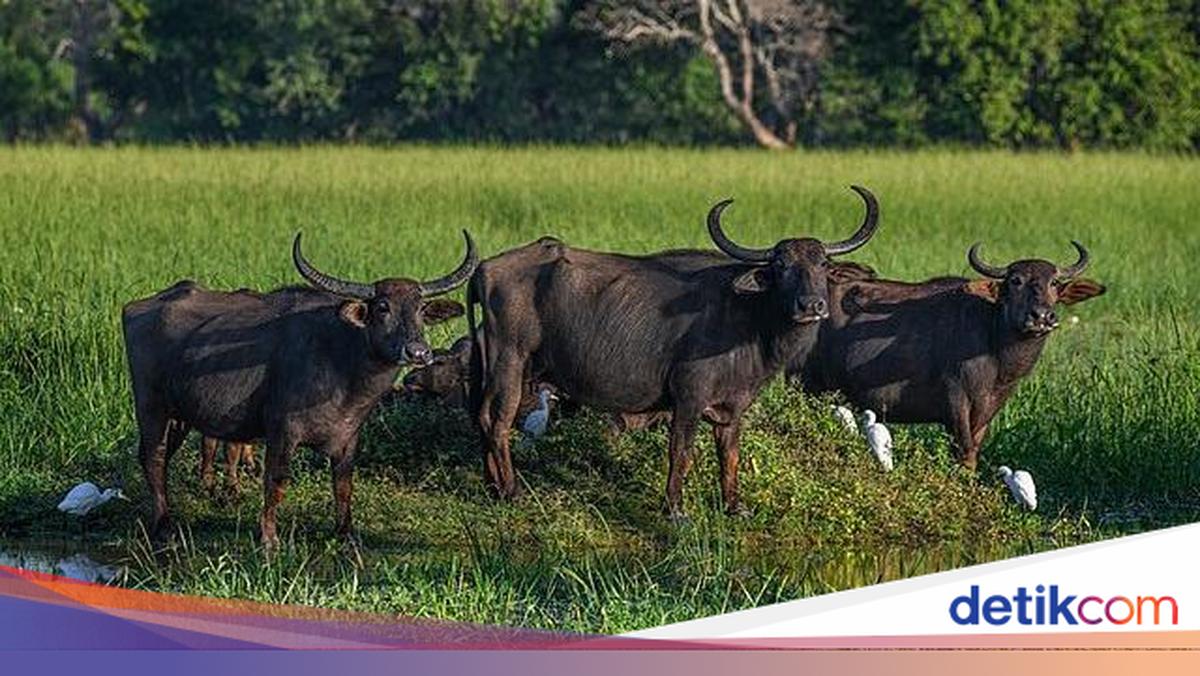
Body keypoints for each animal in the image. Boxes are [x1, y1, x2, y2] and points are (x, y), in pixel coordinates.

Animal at [122, 232, 477, 544]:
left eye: (420, 307)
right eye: (382, 307)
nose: (418, 352)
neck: (342, 362)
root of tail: (138, 306)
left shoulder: (348, 438)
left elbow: (343, 485)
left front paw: (346, 534)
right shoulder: (282, 432)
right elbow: (276, 482)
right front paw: (269, 538)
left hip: (180, 415)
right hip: (151, 408)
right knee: (153, 457)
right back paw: (164, 526)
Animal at [468, 187, 880, 518]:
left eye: (822, 264)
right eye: (781, 266)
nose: (811, 306)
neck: (750, 318)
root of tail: (484, 269)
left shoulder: (733, 408)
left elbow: (729, 455)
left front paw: (734, 506)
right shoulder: (688, 398)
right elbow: (681, 451)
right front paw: (675, 509)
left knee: (481, 417)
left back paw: (492, 488)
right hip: (510, 361)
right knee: (497, 421)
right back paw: (512, 490)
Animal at [793, 242, 1105, 468]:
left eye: (1054, 283)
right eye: (1015, 281)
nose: (1041, 316)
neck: (993, 345)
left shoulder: (989, 410)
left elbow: (974, 452)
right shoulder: (956, 404)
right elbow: (964, 453)